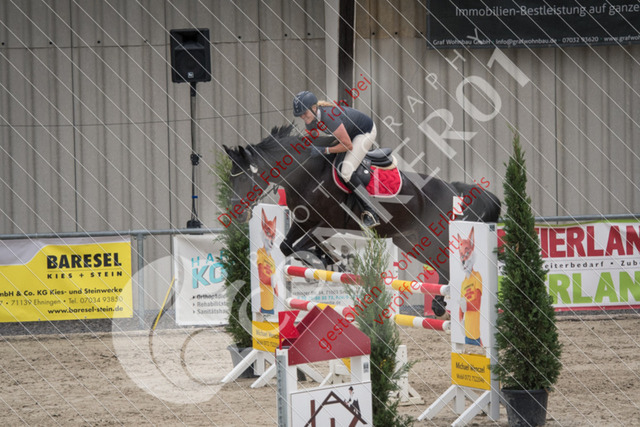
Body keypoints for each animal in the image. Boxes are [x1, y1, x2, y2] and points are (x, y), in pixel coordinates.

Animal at [223, 125, 501, 314]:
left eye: (244, 177)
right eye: (231, 177)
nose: (235, 212)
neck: (307, 174)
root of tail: (452, 188)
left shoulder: (326, 224)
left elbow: (296, 245)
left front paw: (326, 259)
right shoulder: (303, 222)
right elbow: (286, 246)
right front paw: (327, 259)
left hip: (432, 237)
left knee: (448, 264)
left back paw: (443, 304)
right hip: (410, 241)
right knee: (442, 265)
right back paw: (441, 304)